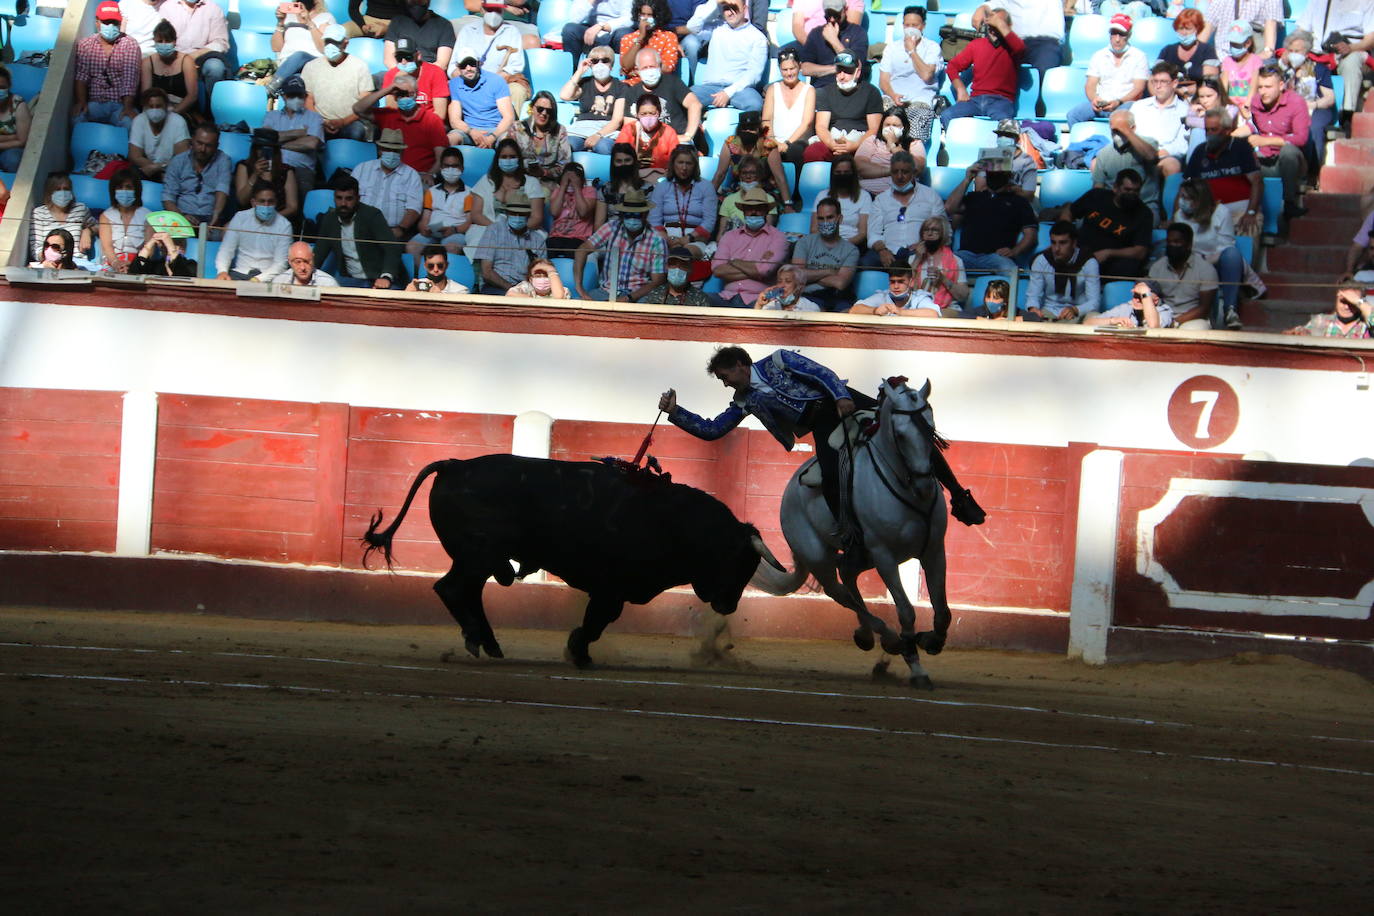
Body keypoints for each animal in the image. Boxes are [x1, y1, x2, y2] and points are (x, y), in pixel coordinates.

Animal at [359, 455, 780, 667]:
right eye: (741, 564)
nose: (728, 605)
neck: (679, 523)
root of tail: (454, 464)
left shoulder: (613, 590)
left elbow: (598, 621)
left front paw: (579, 652)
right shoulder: (611, 588)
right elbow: (596, 622)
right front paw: (579, 653)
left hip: (478, 559)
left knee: (465, 592)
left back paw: (487, 643)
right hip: (477, 556)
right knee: (451, 588)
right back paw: (480, 640)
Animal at [752, 373, 956, 686]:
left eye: (930, 429)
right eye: (900, 435)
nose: (924, 485)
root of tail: (788, 491)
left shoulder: (934, 550)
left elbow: (943, 610)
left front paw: (931, 640)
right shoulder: (884, 556)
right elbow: (906, 611)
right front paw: (917, 667)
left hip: (862, 553)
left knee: (847, 574)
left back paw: (869, 635)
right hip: (819, 555)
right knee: (838, 590)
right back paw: (888, 637)